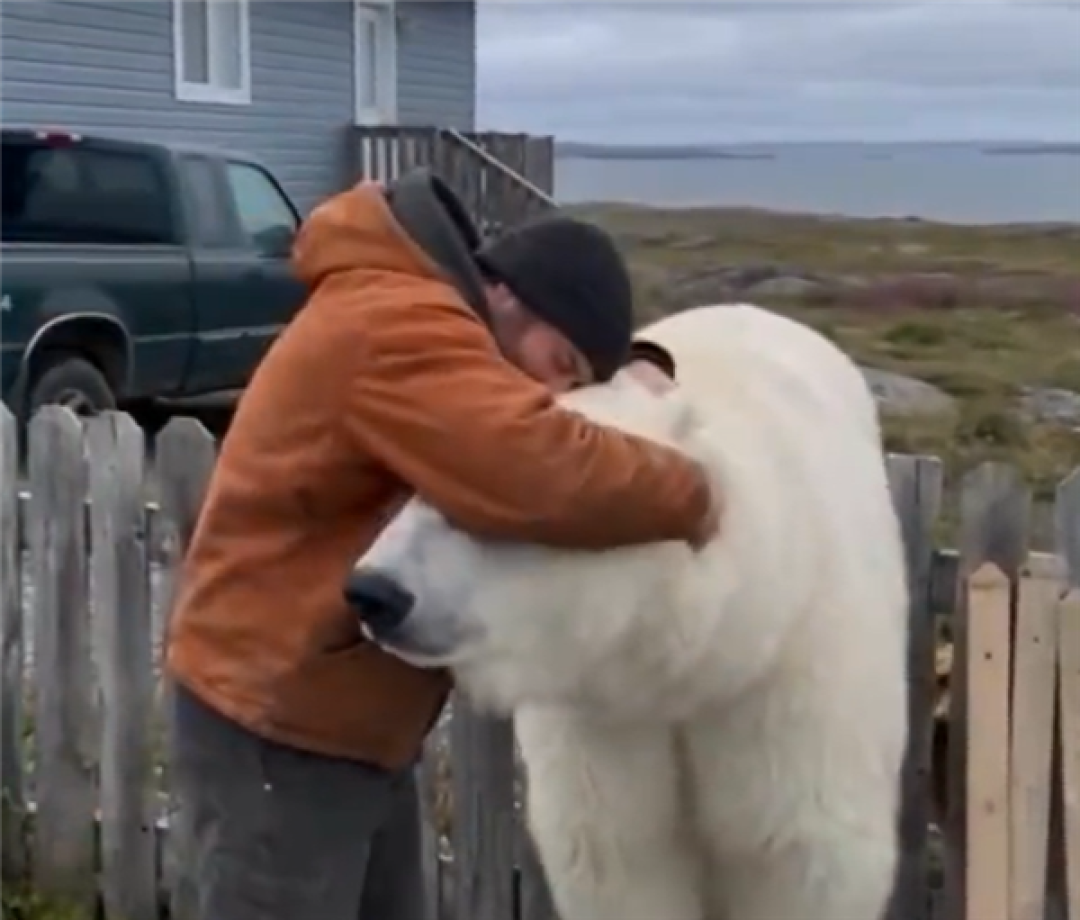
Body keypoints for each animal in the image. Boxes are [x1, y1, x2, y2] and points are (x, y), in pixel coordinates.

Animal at [348, 303, 909, 920]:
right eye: (417, 480)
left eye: (487, 494)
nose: (374, 592)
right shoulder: (601, 721)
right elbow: (620, 857)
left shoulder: (788, 683)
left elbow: (795, 855)